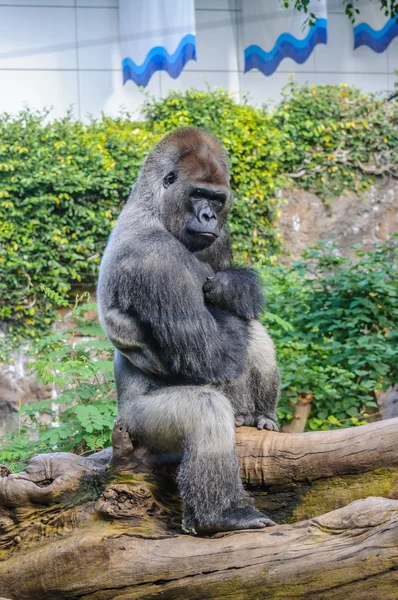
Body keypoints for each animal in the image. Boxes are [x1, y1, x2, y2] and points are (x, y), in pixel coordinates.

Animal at [98, 127, 280, 536]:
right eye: (197, 193)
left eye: (216, 198)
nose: (209, 215)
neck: (152, 208)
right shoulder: (157, 261)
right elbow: (209, 354)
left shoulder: (218, 238)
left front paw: (235, 285)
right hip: (136, 425)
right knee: (205, 410)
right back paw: (221, 515)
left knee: (255, 332)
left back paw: (261, 415)